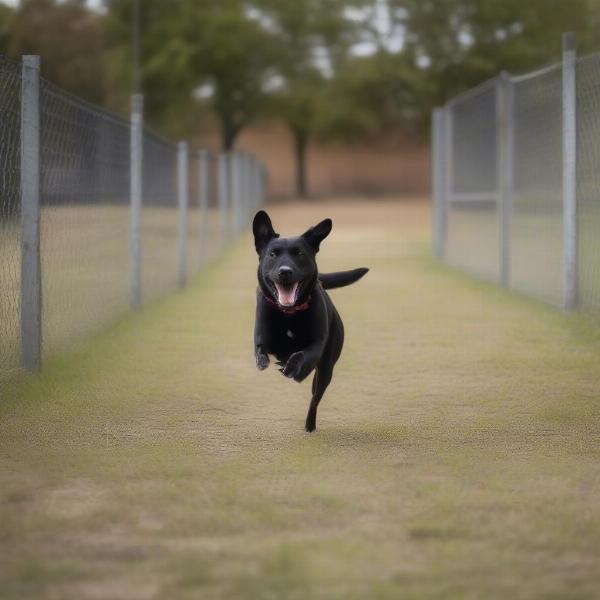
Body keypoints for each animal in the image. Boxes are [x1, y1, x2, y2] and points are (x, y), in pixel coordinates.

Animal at [252, 211, 368, 432]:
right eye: (272, 254)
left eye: (300, 254)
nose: (285, 271)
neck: (288, 313)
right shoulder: (261, 340)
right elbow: (260, 352)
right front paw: (265, 363)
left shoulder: (317, 345)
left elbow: (302, 356)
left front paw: (294, 370)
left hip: (326, 371)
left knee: (315, 397)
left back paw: (309, 424)